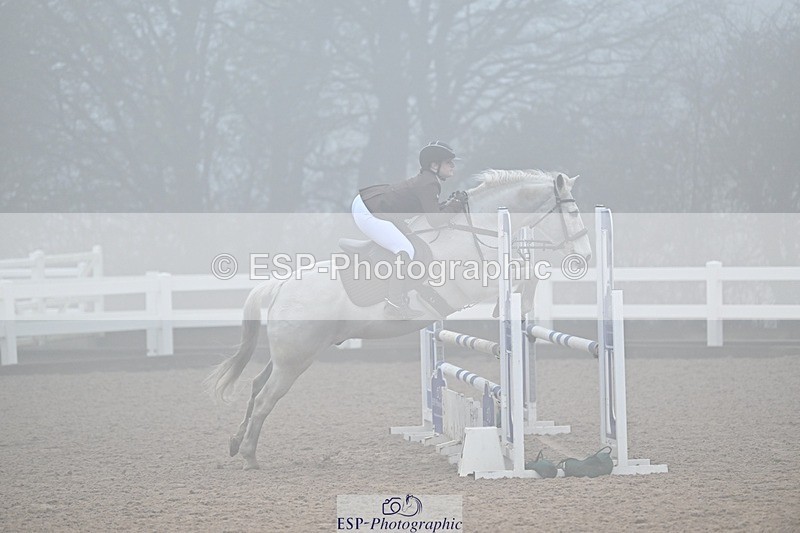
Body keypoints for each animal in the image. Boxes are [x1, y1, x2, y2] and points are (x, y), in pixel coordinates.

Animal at [206, 169, 592, 470]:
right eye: (573, 213)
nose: (585, 256)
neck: (476, 230)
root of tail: (280, 286)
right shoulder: (474, 281)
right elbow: (525, 270)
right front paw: (516, 304)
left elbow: (527, 268)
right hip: (294, 360)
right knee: (264, 399)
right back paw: (250, 456)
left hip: (288, 355)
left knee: (255, 387)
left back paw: (235, 443)